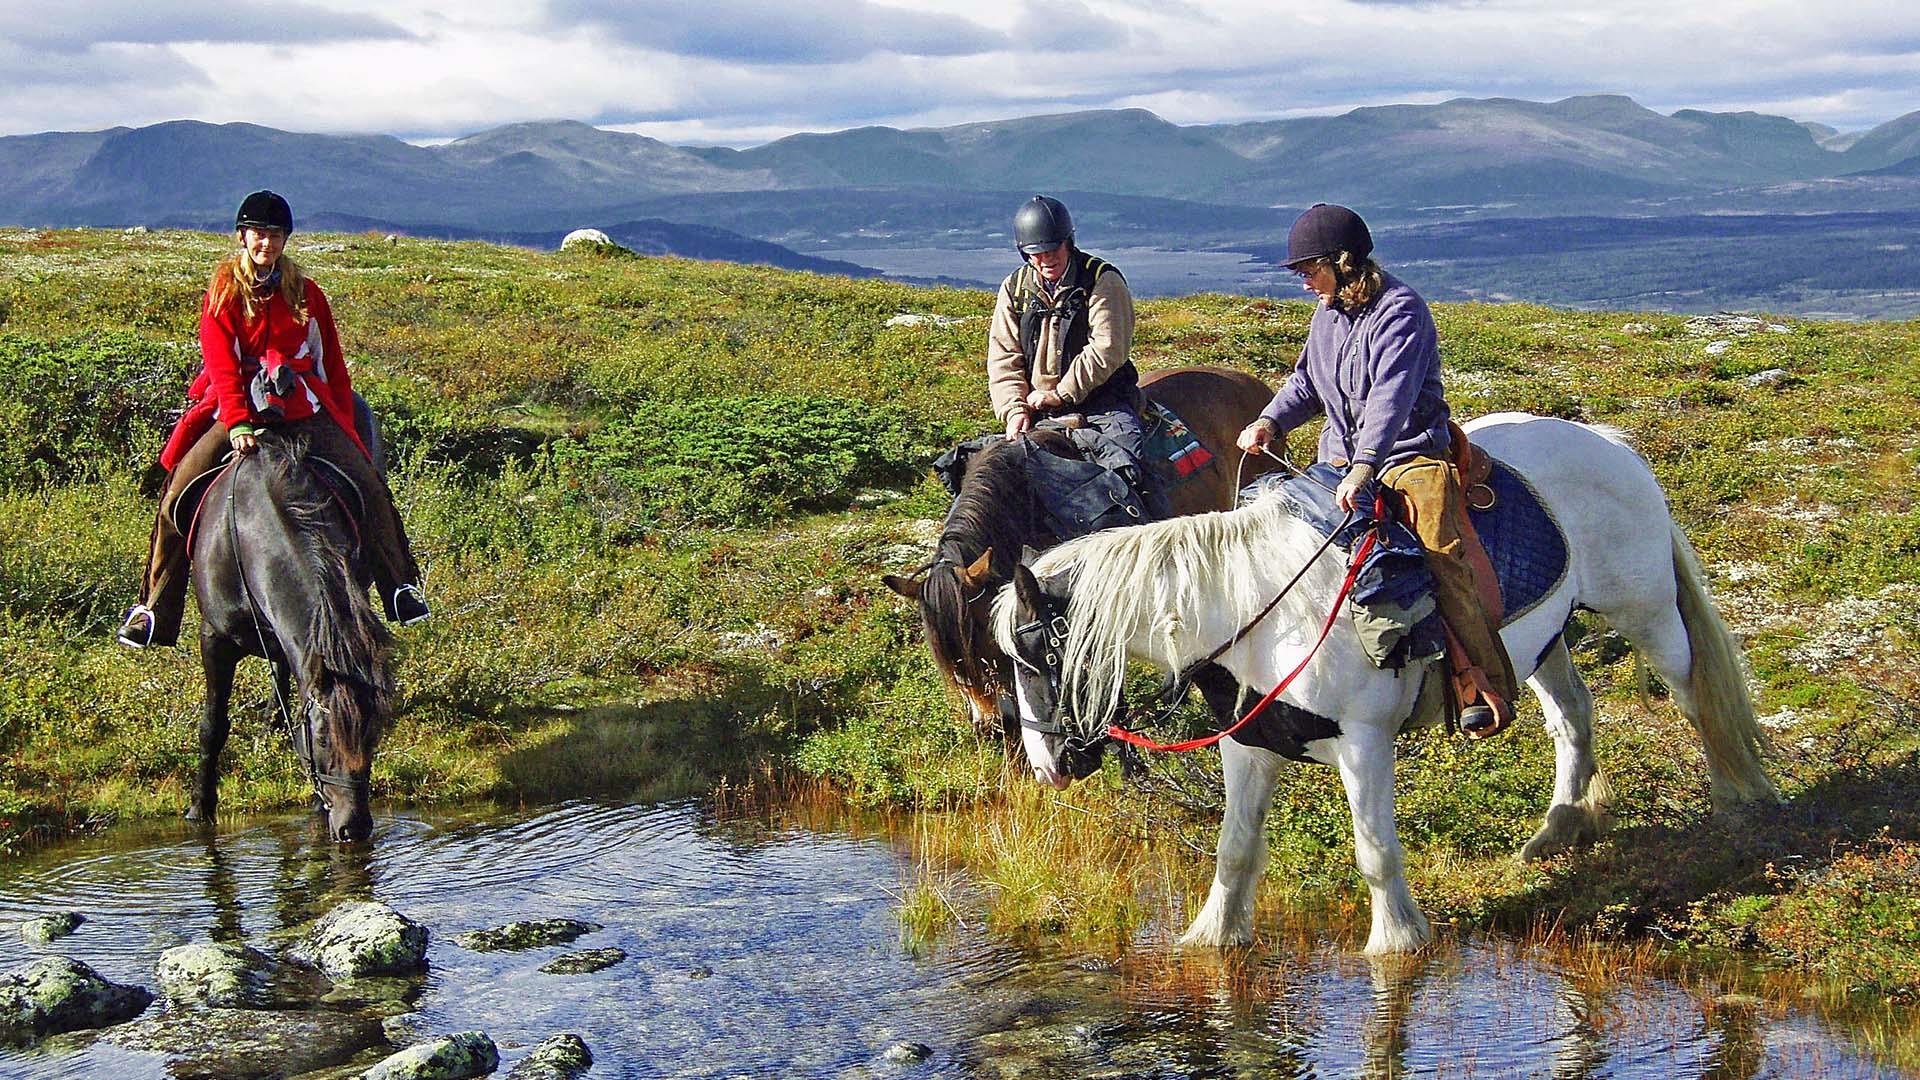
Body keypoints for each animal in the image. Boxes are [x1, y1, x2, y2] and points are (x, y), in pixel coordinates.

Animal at [184, 424, 393, 837]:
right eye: (323, 740)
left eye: (374, 737)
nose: (355, 828)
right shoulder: (214, 638)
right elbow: (212, 726)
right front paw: (200, 807)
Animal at [998, 411, 1774, 949]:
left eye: (1037, 654)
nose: (1048, 766)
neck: (1255, 608)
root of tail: (1609, 443)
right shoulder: (1248, 745)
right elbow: (1234, 848)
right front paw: (1213, 935)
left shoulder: (1364, 742)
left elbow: (1374, 851)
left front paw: (1397, 940)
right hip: (1543, 641)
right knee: (1573, 715)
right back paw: (1557, 830)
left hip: (1645, 611)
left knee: (1694, 694)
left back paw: (1735, 799)